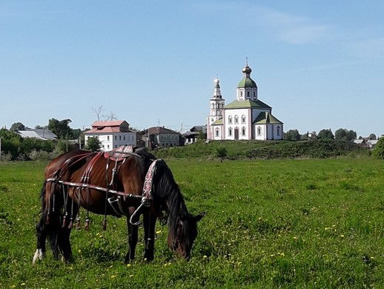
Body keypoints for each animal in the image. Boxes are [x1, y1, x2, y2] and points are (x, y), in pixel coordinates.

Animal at [33, 146, 204, 264]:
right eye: (180, 233)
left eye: (194, 234)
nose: (185, 258)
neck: (148, 174)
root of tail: (54, 163)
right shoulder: (132, 210)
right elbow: (133, 237)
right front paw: (129, 260)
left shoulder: (149, 211)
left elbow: (149, 236)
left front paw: (148, 258)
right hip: (53, 199)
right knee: (43, 226)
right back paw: (39, 256)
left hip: (71, 203)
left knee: (63, 230)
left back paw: (68, 259)